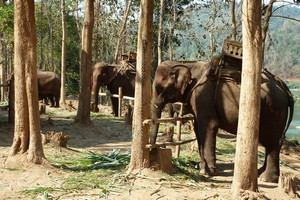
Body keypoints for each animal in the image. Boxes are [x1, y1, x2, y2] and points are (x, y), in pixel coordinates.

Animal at [149, 56, 294, 183]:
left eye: (160, 88)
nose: (153, 149)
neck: (189, 65)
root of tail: (285, 88)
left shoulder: (203, 96)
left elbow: (208, 126)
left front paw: (207, 172)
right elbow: (198, 128)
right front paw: (200, 167)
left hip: (274, 109)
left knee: (271, 141)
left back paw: (266, 179)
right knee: (271, 142)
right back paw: (260, 173)